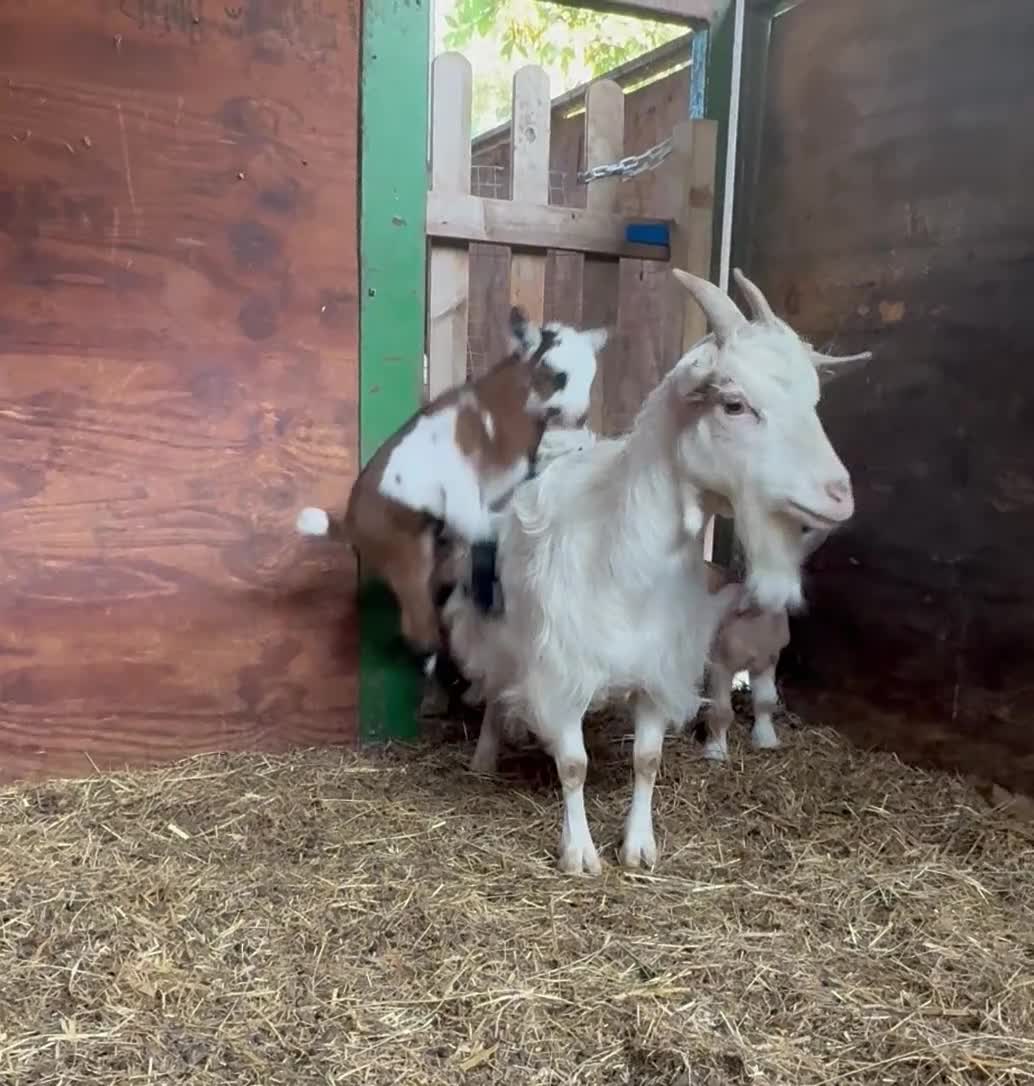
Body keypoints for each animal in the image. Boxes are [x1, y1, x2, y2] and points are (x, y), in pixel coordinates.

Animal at [296, 310, 607, 665]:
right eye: (558, 375)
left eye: (590, 375)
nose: (580, 417)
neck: (507, 408)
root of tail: (349, 524)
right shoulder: (466, 500)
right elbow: (482, 535)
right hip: (404, 554)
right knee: (417, 623)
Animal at [443, 267, 870, 875]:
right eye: (733, 404)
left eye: (814, 399)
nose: (838, 496)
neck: (622, 560)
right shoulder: (561, 671)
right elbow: (573, 765)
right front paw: (579, 852)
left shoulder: (657, 671)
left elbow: (647, 760)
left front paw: (638, 846)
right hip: (494, 628)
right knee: (496, 685)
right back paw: (485, 753)